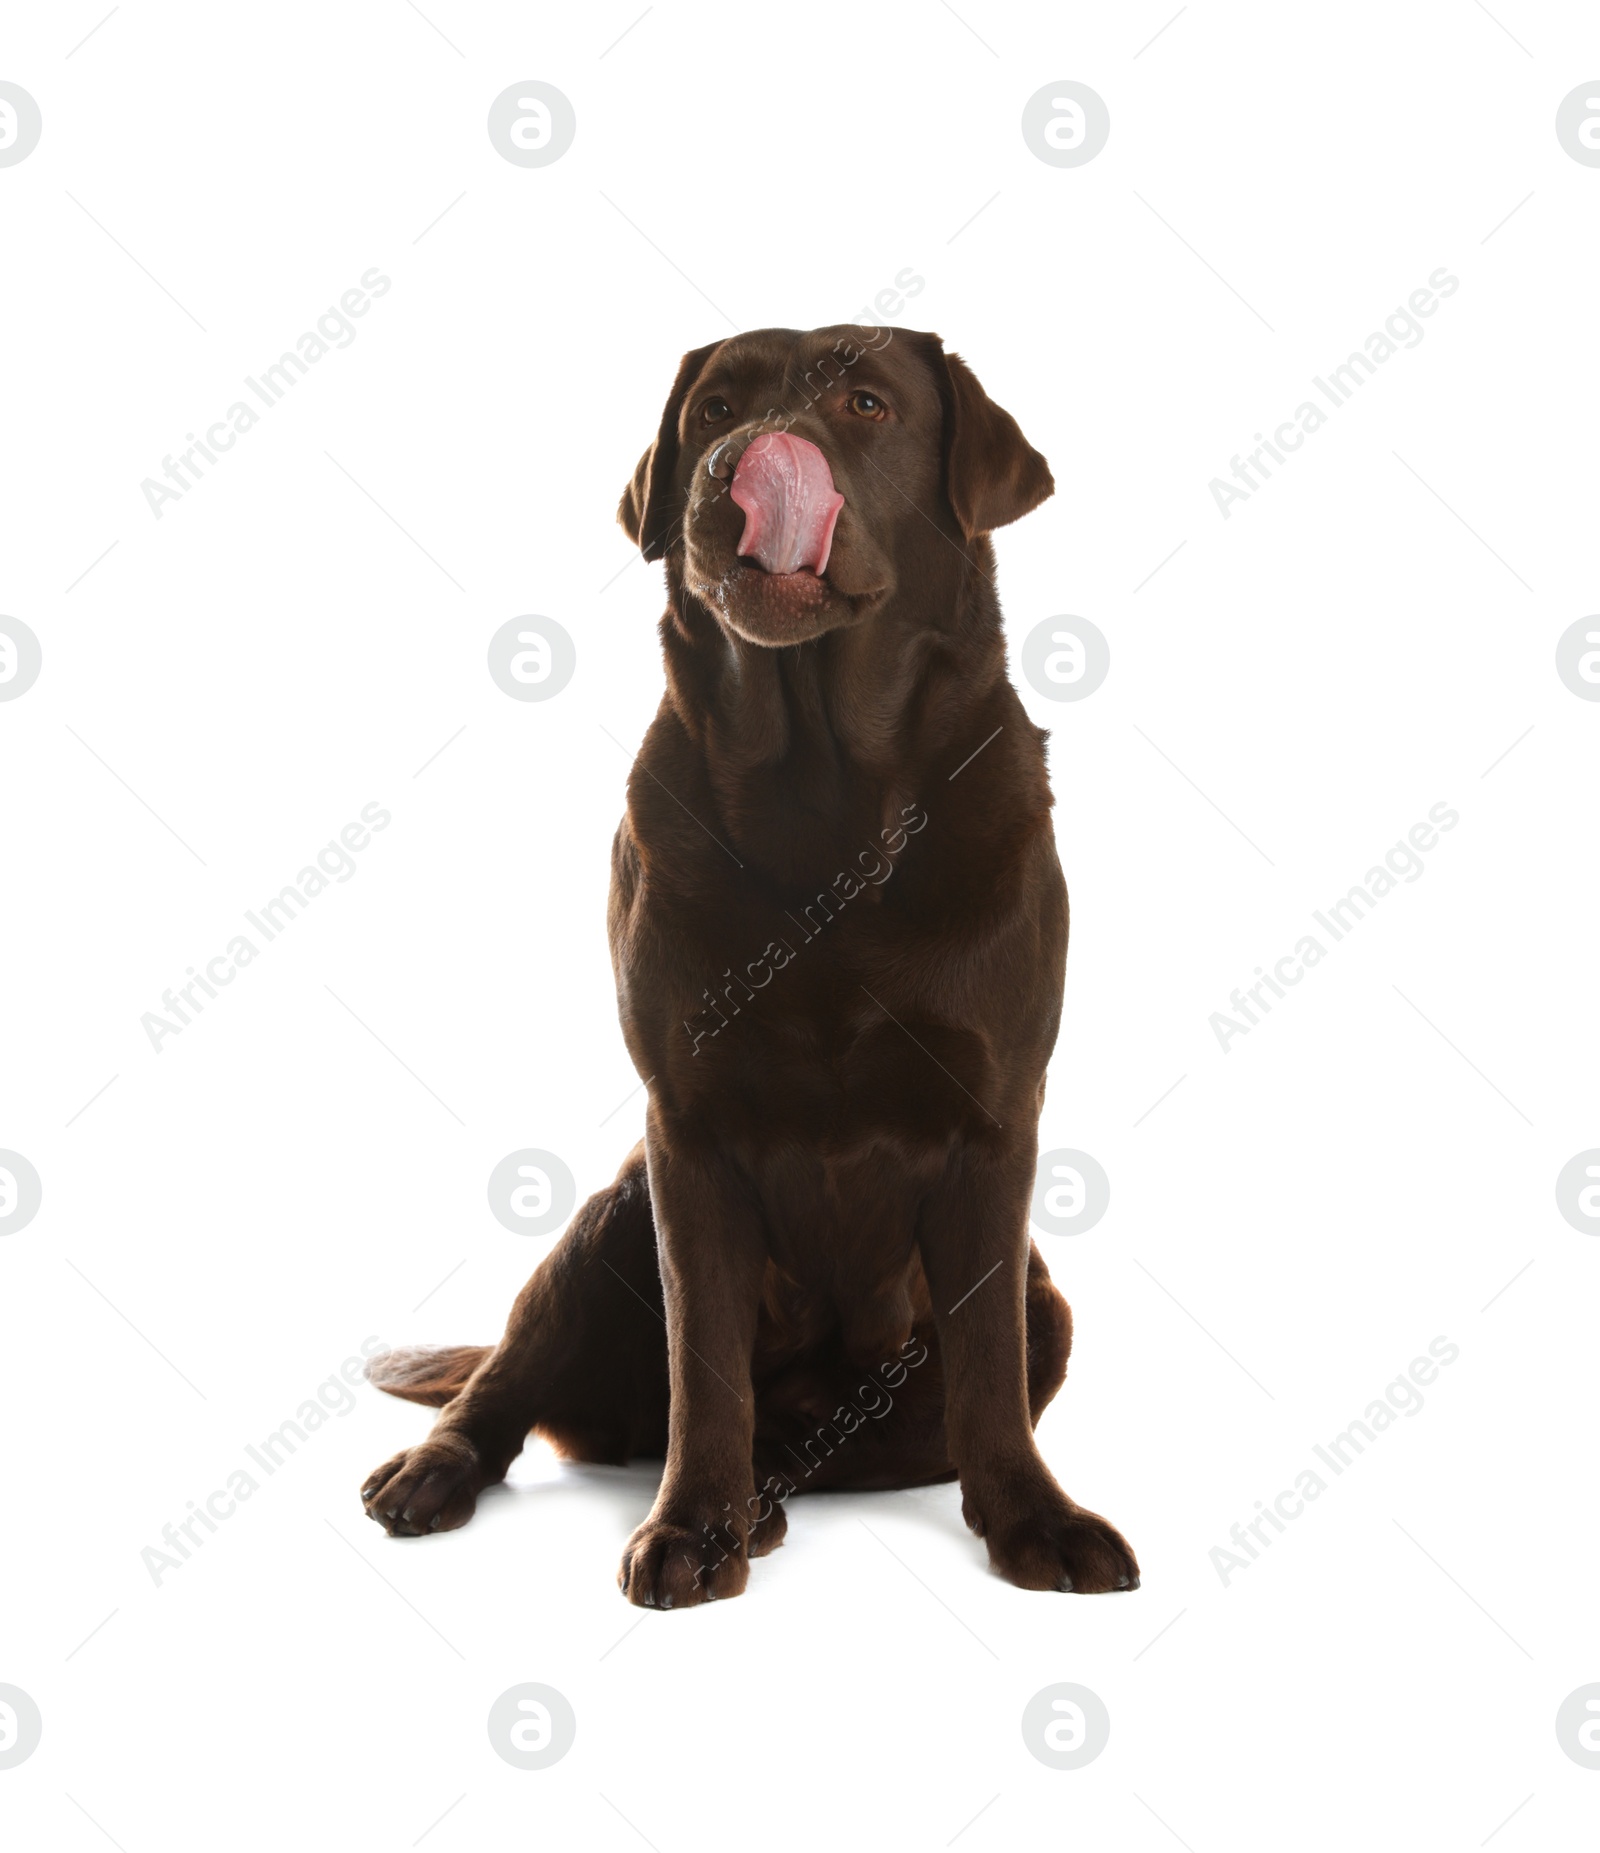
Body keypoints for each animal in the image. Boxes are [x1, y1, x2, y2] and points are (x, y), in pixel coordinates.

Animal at [363, 326, 1142, 1600]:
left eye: (866, 403)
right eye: (714, 409)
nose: (741, 463)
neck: (821, 795)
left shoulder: (995, 1120)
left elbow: (984, 1366)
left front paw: (1035, 1519)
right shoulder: (686, 1128)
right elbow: (707, 1359)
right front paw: (692, 1524)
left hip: (1048, 1306)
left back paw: (776, 1491)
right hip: (608, 1217)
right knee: (511, 1379)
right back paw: (442, 1472)